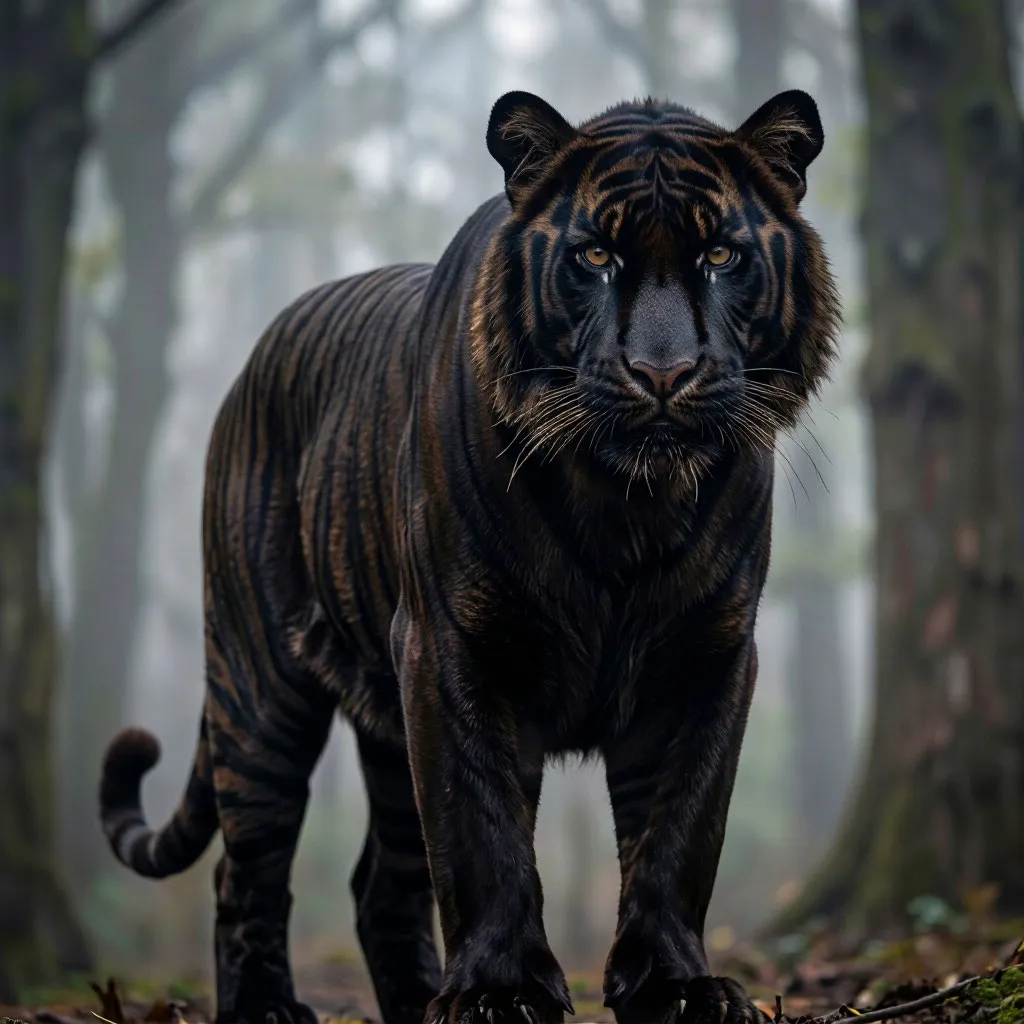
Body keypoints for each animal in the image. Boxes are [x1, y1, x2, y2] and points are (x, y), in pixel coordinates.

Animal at [98, 88, 840, 1024]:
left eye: (719, 254)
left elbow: (679, 836)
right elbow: (481, 829)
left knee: (381, 885)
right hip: (259, 680)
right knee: (247, 865)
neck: (625, 505)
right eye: (595, 255)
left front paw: (676, 986)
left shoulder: (707, 657)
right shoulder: (454, 646)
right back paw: (266, 1005)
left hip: (379, 726)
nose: (662, 373)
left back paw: (416, 1001)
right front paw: (499, 991)